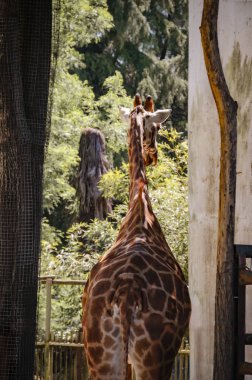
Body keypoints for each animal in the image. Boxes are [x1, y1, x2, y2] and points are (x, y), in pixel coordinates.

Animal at [82, 95, 191, 380]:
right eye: (158, 127)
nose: (153, 156)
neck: (139, 205)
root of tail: (127, 291)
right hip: (153, 357)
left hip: (99, 355)